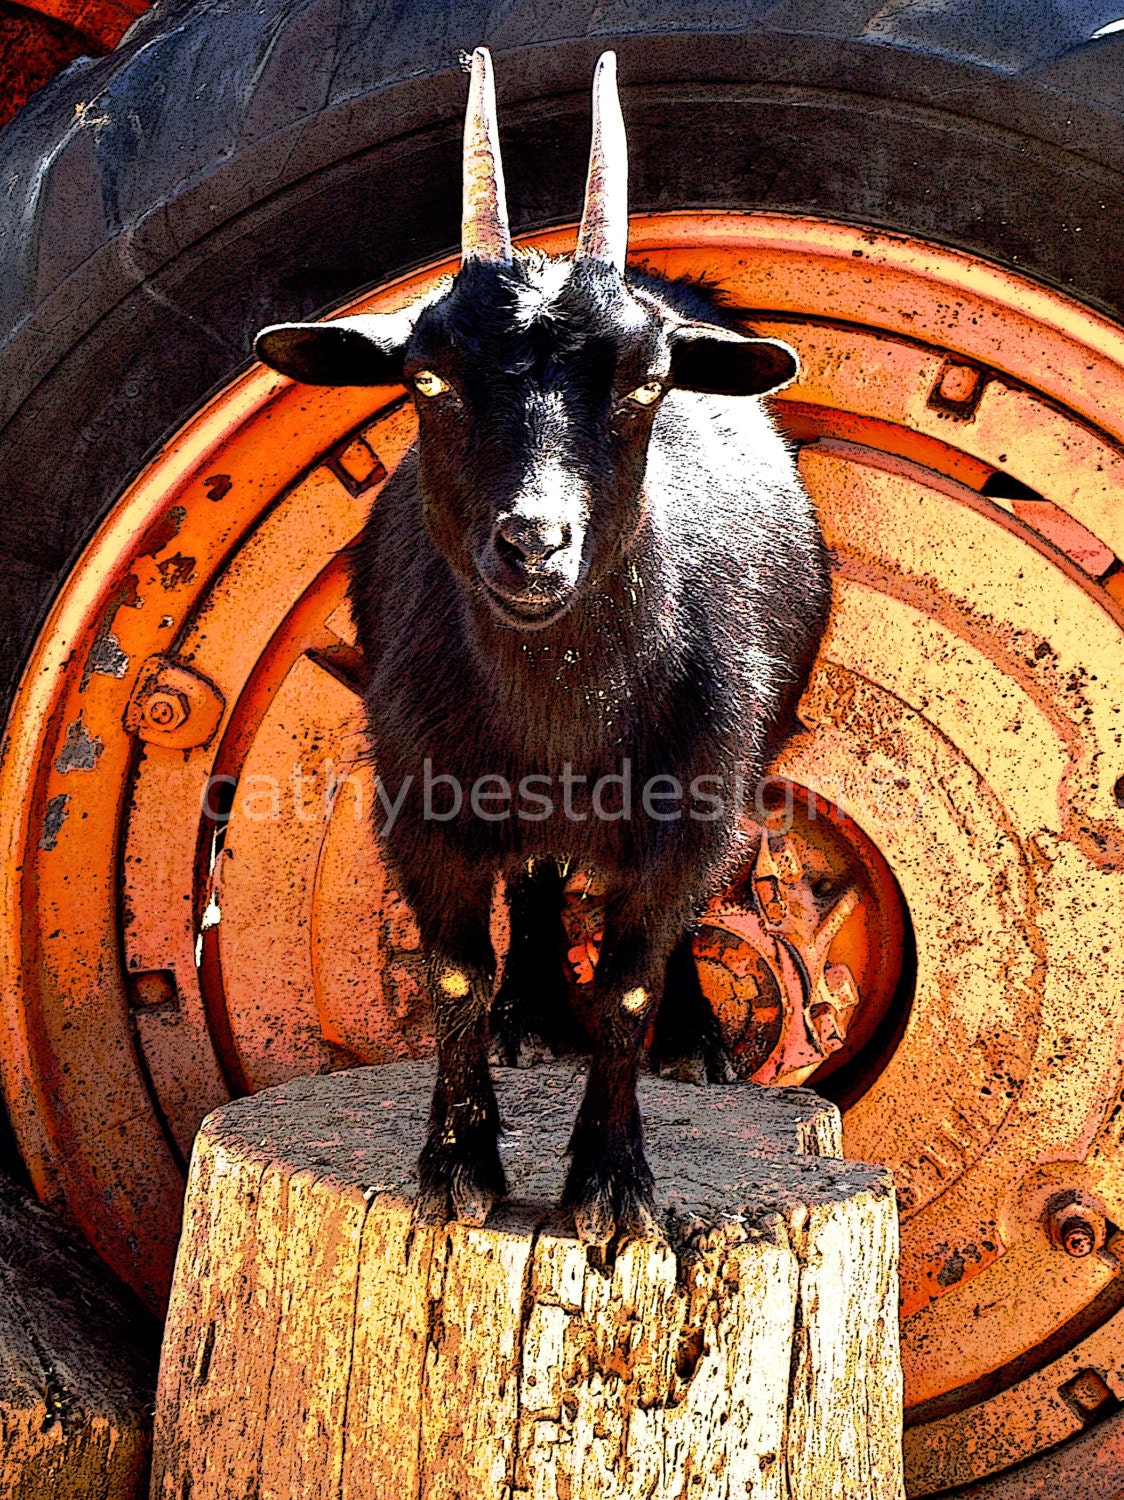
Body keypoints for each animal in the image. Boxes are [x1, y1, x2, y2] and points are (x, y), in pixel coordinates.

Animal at [255, 49, 831, 1247]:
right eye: (425, 378)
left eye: (647, 381)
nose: (532, 541)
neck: (559, 719)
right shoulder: (422, 807)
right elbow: (456, 978)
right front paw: (458, 1167)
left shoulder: (689, 804)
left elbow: (629, 981)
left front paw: (610, 1186)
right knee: (534, 879)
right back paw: (530, 1011)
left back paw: (694, 1040)